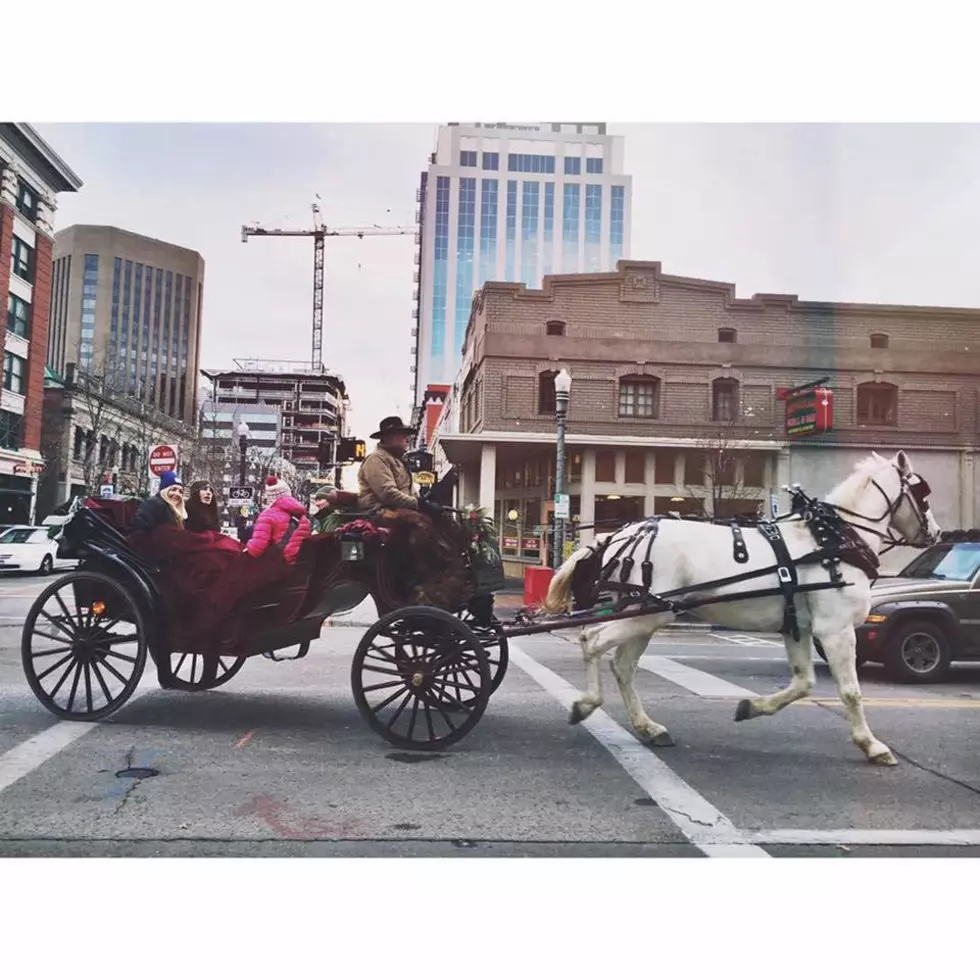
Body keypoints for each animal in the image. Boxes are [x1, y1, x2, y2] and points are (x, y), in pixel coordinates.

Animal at [544, 450, 940, 764]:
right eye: (922, 492)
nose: (935, 533)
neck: (833, 542)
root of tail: (618, 534)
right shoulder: (836, 629)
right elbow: (851, 691)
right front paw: (872, 746)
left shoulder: (798, 627)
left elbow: (804, 683)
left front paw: (750, 707)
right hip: (651, 612)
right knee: (593, 640)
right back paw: (587, 704)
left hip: (646, 614)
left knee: (622, 664)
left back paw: (648, 727)